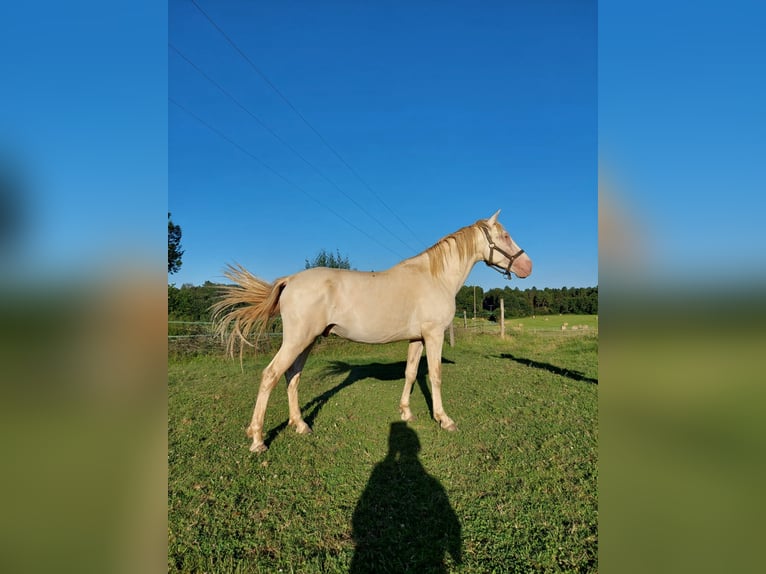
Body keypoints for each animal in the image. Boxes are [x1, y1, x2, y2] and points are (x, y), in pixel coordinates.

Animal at [212, 212, 536, 454]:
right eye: (505, 236)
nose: (527, 265)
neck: (435, 277)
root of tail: (290, 279)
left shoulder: (417, 338)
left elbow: (410, 373)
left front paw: (406, 412)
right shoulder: (433, 336)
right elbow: (435, 375)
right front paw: (444, 419)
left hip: (306, 342)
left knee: (292, 377)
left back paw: (301, 425)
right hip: (297, 340)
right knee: (270, 375)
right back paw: (258, 439)